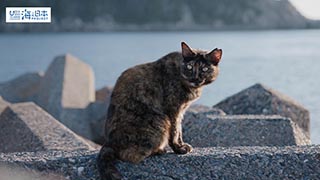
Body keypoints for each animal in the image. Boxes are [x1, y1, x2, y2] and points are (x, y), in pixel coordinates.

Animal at [97, 41, 222, 179]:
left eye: (204, 69)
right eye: (189, 67)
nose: (195, 78)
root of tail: (109, 142)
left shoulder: (181, 111)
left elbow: (179, 130)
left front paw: (181, 145)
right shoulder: (173, 109)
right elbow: (175, 131)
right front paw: (178, 149)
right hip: (160, 121)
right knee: (129, 156)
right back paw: (159, 150)